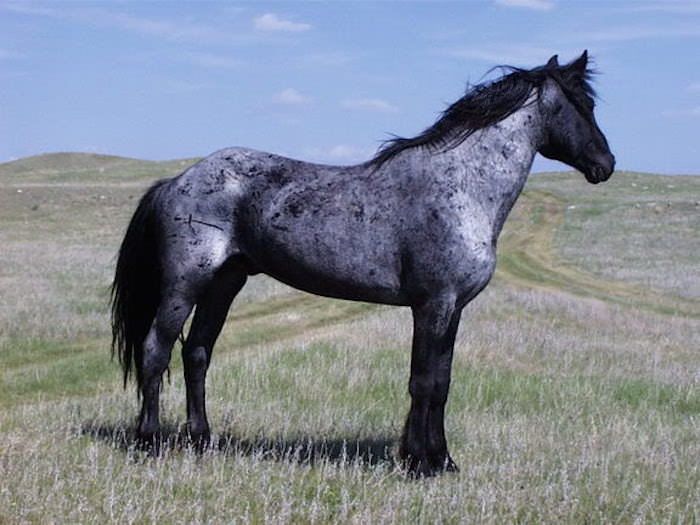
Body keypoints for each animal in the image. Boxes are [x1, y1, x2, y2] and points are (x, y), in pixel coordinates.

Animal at [109, 51, 612, 476]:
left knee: (197, 354)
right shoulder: (433, 305)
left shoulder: (453, 309)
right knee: (156, 351)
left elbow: (442, 382)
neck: (462, 186)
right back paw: (149, 442)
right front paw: (420, 463)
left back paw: (203, 440)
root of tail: (178, 180)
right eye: (583, 105)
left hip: (224, 283)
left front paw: (441, 460)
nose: (605, 164)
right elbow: (424, 382)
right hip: (185, 284)